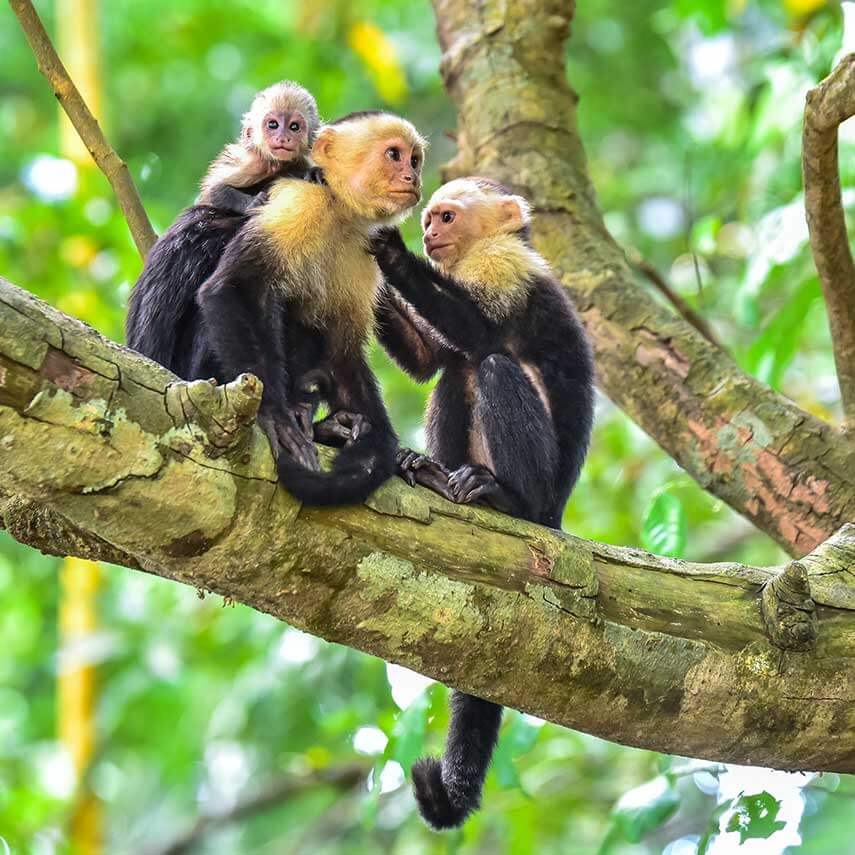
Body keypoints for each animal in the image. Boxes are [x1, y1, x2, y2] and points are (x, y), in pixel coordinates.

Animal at [191, 111, 424, 504]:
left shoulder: (367, 252)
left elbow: (342, 353)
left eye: (415, 160)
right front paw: (273, 416)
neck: (338, 210)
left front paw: (380, 446)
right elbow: (233, 288)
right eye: (394, 155)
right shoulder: (299, 204)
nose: (413, 177)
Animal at [372, 179, 600, 828]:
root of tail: (556, 514)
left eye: (445, 218)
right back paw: (432, 474)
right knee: (455, 372)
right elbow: (431, 359)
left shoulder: (506, 265)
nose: (427, 234)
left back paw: (506, 499)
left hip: (545, 489)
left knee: (492, 364)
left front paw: (390, 254)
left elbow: (482, 334)